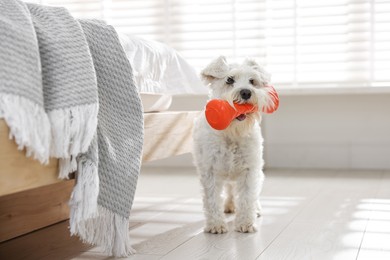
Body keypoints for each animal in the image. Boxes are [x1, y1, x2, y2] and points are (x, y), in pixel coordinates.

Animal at [193, 55, 274, 235]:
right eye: (229, 80)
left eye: (252, 81)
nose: (246, 92)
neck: (232, 133)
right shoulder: (210, 170)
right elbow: (212, 199)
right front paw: (215, 225)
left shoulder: (250, 170)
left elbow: (247, 197)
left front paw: (246, 223)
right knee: (229, 191)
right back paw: (229, 206)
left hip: (258, 174)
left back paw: (255, 209)